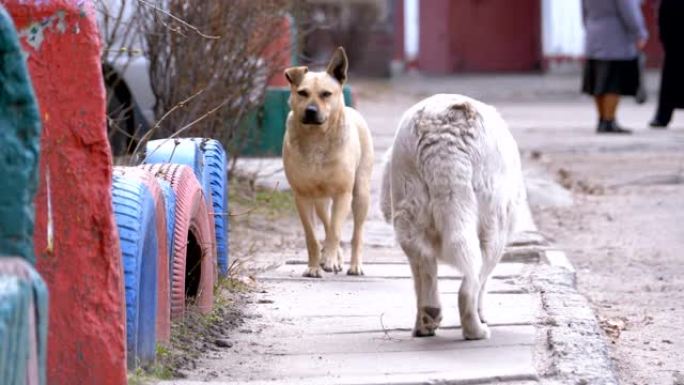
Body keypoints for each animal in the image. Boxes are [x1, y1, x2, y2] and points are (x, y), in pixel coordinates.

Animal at [282, 47, 374, 276]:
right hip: (320, 200)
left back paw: (354, 265)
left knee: (355, 232)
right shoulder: (302, 196)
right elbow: (313, 236)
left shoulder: (343, 193)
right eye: (302, 93)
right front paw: (314, 267)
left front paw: (330, 260)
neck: (316, 138)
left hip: (361, 193)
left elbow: (335, 231)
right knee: (326, 219)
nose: (311, 111)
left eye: (326, 94)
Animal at [380, 94, 524, 340]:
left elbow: (419, 280)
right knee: (469, 285)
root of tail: (442, 135)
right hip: (492, 230)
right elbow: (482, 287)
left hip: (408, 211)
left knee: (425, 265)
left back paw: (428, 318)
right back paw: (476, 330)